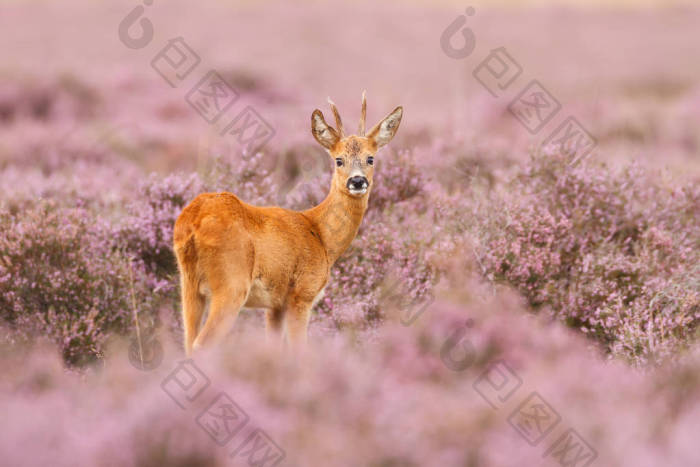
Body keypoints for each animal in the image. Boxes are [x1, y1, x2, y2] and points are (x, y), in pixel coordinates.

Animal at [173, 92, 403, 355]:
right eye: (338, 160)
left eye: (370, 158)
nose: (357, 181)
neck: (321, 234)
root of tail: (193, 222)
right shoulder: (302, 293)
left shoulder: (276, 305)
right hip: (232, 283)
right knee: (201, 344)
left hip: (188, 285)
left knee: (188, 341)